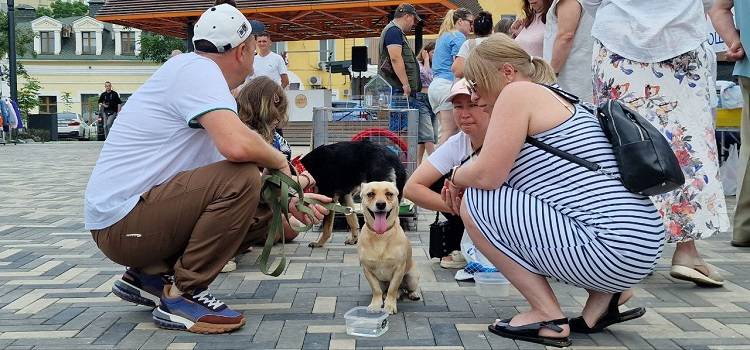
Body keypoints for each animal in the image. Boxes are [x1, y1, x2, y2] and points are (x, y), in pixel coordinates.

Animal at [360, 182, 420, 314]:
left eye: (389, 194)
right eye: (370, 194)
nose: (381, 204)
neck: (380, 236)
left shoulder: (399, 269)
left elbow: (392, 289)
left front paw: (389, 306)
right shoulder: (367, 270)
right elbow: (376, 289)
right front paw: (375, 304)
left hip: (412, 277)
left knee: (407, 289)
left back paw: (413, 294)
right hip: (383, 283)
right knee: (388, 291)